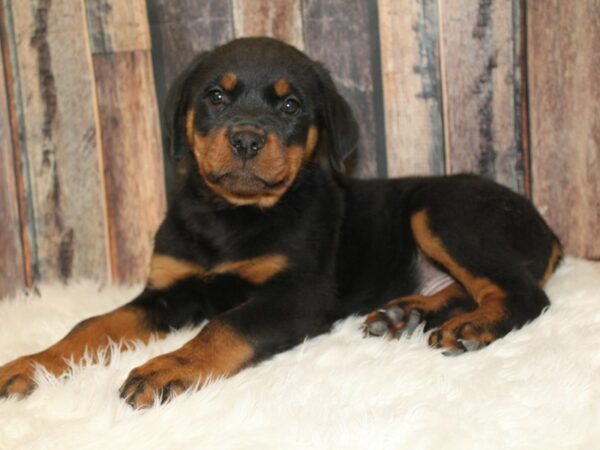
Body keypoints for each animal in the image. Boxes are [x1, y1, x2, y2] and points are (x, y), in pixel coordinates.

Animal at [1, 37, 564, 408]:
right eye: (216, 96)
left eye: (292, 104)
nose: (248, 139)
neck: (229, 215)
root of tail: (547, 229)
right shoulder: (167, 291)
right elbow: (93, 325)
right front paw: (30, 365)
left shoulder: (298, 295)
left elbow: (224, 327)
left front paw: (166, 368)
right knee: (472, 287)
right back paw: (403, 314)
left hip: (442, 209)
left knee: (522, 292)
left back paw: (471, 327)